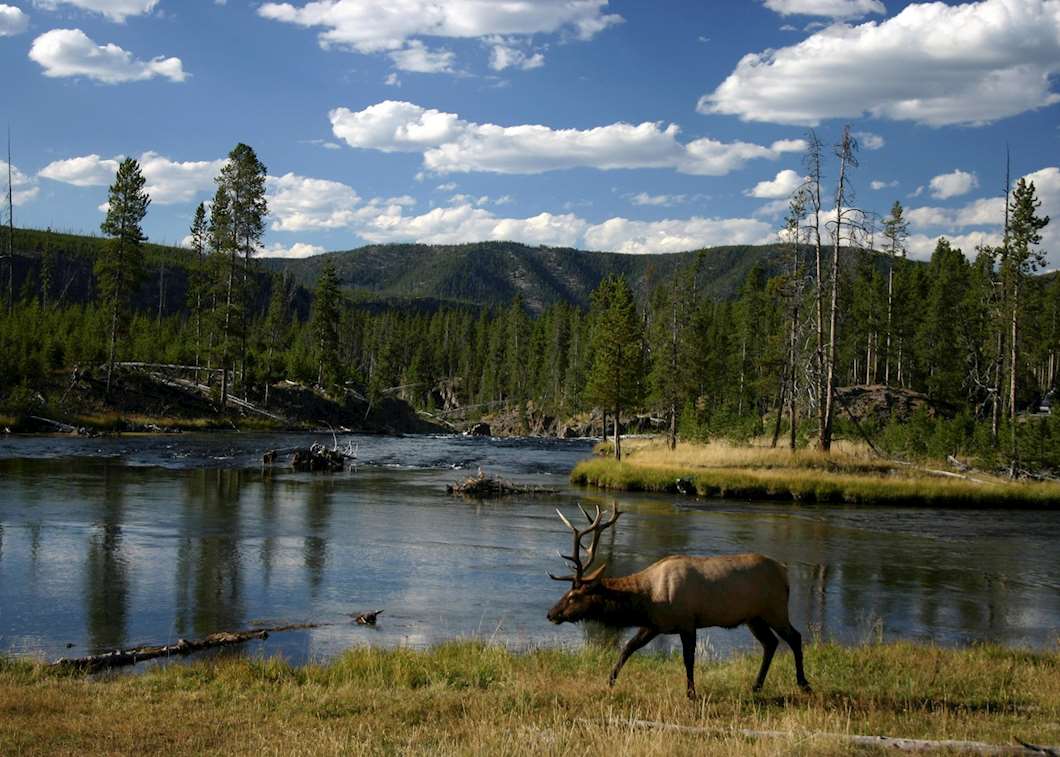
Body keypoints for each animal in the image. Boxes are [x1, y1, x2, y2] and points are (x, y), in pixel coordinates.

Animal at [546, 500, 809, 695]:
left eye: (573, 596)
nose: (550, 614)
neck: (649, 598)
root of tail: (785, 573)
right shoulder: (654, 624)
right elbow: (628, 648)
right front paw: (609, 681)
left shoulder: (686, 622)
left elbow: (688, 659)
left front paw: (691, 693)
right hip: (754, 617)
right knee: (770, 643)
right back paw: (756, 686)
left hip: (775, 609)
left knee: (794, 637)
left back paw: (803, 684)